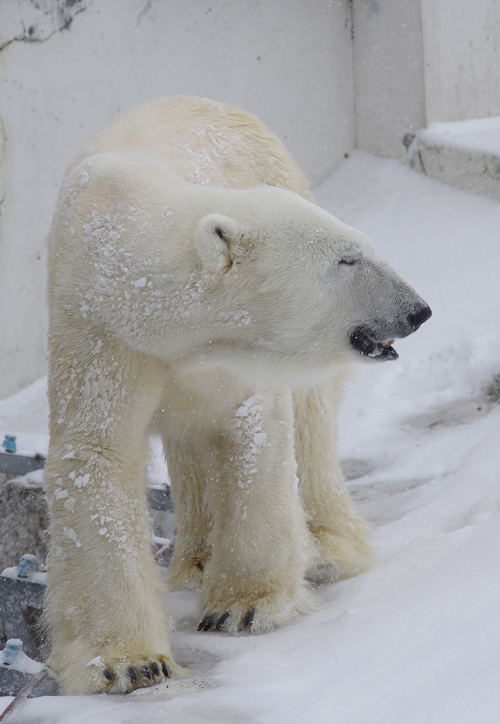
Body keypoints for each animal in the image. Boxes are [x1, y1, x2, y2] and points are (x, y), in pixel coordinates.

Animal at [45, 93, 432, 692]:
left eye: (360, 249)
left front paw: (244, 606)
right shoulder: (97, 329)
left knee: (311, 418)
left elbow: (252, 426)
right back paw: (194, 560)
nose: (417, 310)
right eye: (346, 259)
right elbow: (96, 455)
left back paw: (326, 549)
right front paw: (129, 662)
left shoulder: (232, 350)